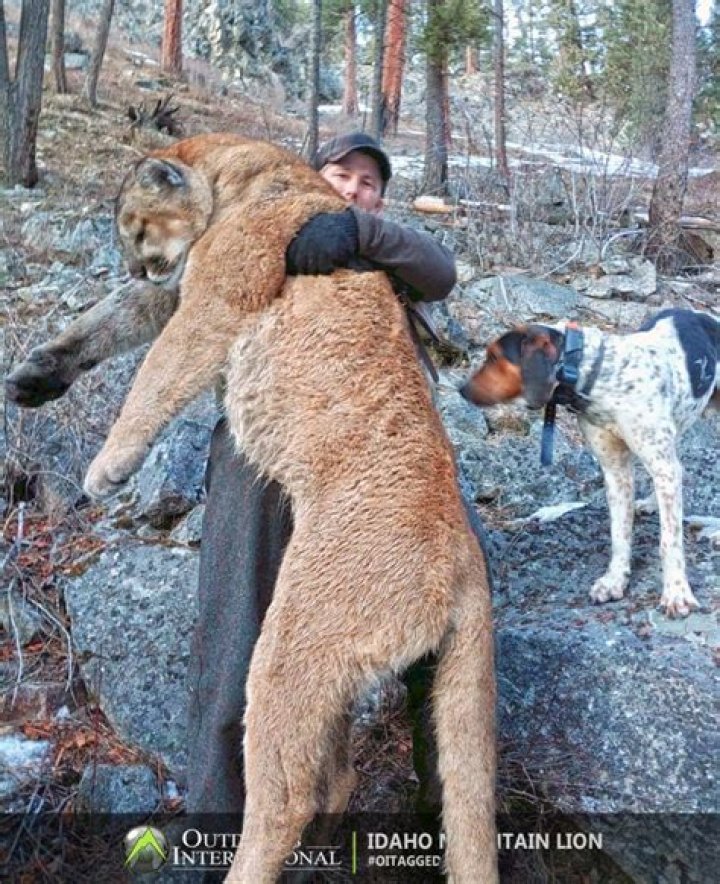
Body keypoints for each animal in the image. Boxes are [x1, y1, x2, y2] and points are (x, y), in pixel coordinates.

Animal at [6, 134, 498, 883]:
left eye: (135, 228)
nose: (137, 263)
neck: (240, 174)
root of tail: (463, 555)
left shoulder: (213, 295)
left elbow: (156, 374)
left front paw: (107, 466)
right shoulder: (177, 288)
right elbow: (106, 319)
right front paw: (36, 376)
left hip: (296, 641)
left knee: (287, 790)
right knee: (348, 778)